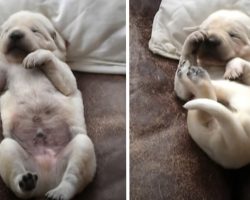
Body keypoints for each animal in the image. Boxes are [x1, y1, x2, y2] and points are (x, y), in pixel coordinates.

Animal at [0, 11, 96, 200]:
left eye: (35, 30)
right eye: (7, 30)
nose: (15, 34)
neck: (18, 61)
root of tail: (46, 181)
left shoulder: (65, 72)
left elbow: (65, 77)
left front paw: (36, 56)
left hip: (81, 148)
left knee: (73, 176)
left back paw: (60, 192)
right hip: (8, 149)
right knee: (16, 177)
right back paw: (26, 181)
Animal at [174, 9, 250, 169]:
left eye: (233, 35)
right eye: (206, 29)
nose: (210, 39)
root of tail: (240, 143)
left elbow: (239, 60)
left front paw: (233, 68)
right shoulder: (183, 92)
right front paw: (193, 38)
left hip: (232, 90)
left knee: (210, 95)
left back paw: (193, 74)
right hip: (209, 132)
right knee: (205, 110)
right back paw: (188, 71)